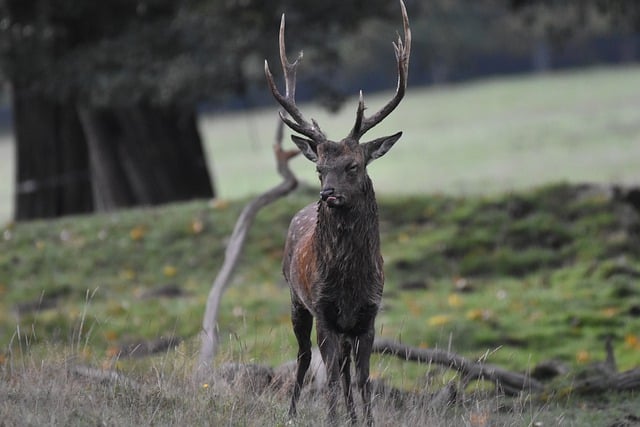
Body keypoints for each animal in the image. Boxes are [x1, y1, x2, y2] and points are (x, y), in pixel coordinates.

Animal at [264, 1, 410, 426]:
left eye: (353, 165)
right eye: (319, 168)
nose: (327, 194)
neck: (349, 282)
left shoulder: (368, 315)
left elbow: (362, 378)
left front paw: (366, 420)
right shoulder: (325, 311)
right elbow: (327, 374)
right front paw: (331, 418)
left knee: (344, 369)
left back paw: (351, 415)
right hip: (295, 300)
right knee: (303, 358)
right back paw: (293, 412)